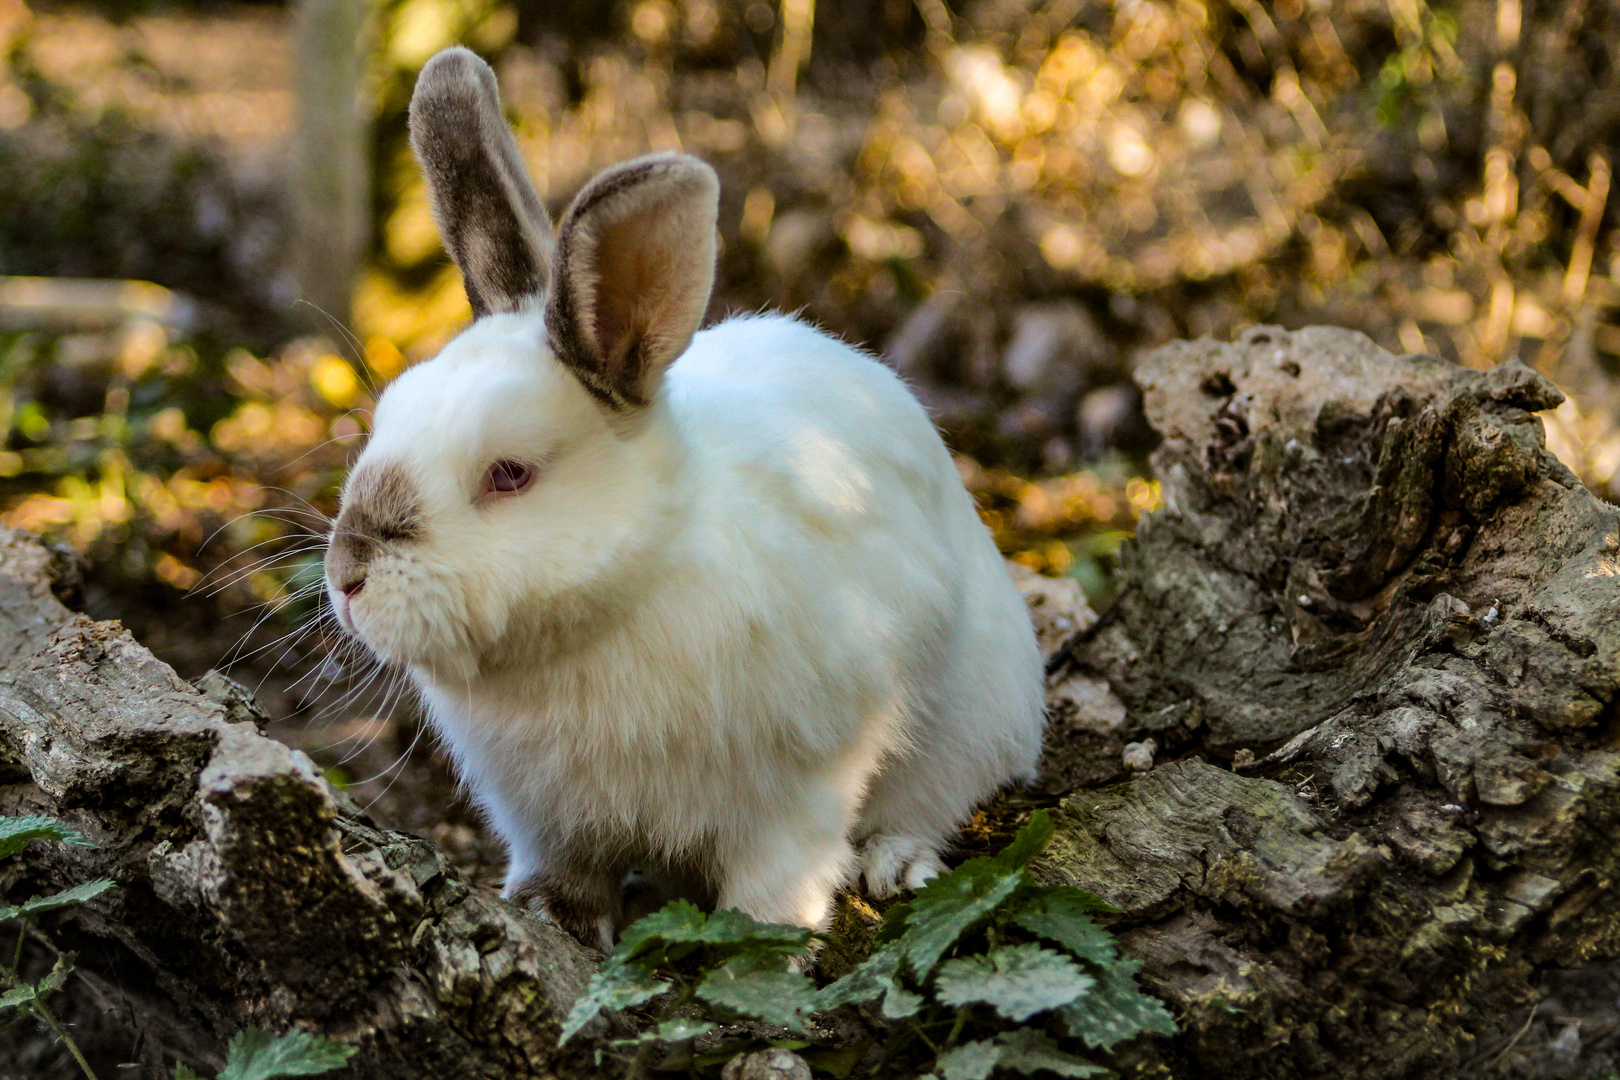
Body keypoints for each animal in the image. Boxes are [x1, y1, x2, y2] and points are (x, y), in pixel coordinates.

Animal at [322, 46, 1043, 952]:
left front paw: (759, 942)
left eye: (509, 474)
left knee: (936, 801)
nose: (346, 576)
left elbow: (779, 876)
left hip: (972, 721)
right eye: (385, 418)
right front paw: (548, 912)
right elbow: (567, 865)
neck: (617, 601)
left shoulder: (805, 779)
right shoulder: (540, 810)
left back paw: (897, 863)